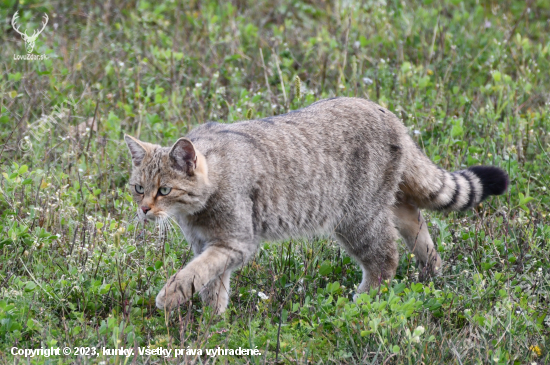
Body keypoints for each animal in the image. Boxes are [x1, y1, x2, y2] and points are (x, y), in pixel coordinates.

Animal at [125, 96, 508, 312]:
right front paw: (212, 325)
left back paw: (361, 301)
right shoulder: (209, 244)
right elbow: (211, 283)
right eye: (138, 188)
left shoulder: (235, 242)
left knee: (386, 258)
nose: (144, 210)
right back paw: (431, 274)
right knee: (419, 228)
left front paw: (172, 296)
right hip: (389, 203)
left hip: (357, 217)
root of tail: (389, 114)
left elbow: (196, 273)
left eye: (164, 191)